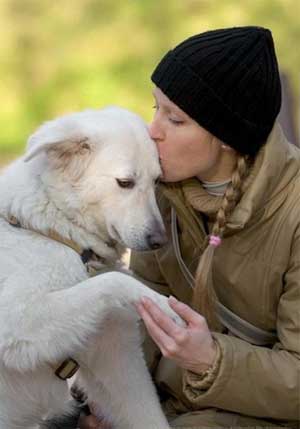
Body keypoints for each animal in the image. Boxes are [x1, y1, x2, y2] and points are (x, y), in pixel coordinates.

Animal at [0, 107, 183, 428]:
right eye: (125, 182)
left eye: (156, 181)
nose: (159, 241)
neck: (61, 230)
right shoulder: (16, 318)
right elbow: (114, 281)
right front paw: (162, 305)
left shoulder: (117, 360)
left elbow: (149, 416)